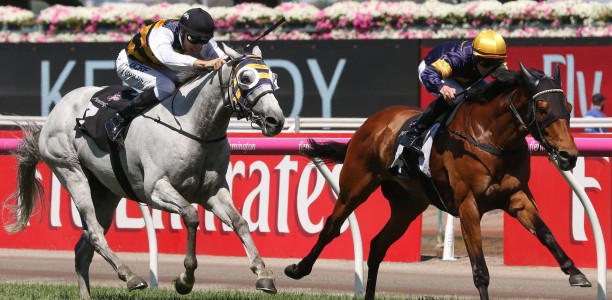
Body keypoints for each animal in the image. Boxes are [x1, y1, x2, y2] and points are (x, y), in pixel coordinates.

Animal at [4, 44, 284, 300]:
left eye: (274, 78)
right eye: (246, 77)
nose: (275, 120)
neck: (194, 128)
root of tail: (55, 111)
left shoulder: (213, 191)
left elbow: (240, 222)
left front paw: (263, 275)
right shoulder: (156, 189)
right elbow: (191, 216)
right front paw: (185, 280)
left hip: (105, 192)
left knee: (83, 247)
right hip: (70, 170)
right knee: (94, 233)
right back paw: (130, 275)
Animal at [284, 62, 592, 298]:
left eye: (568, 105)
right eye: (542, 108)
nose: (568, 155)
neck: (491, 138)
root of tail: (371, 123)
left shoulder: (517, 196)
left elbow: (546, 233)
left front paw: (575, 273)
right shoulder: (468, 206)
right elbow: (480, 270)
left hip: (408, 205)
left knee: (378, 245)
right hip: (356, 186)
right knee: (331, 227)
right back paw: (298, 269)